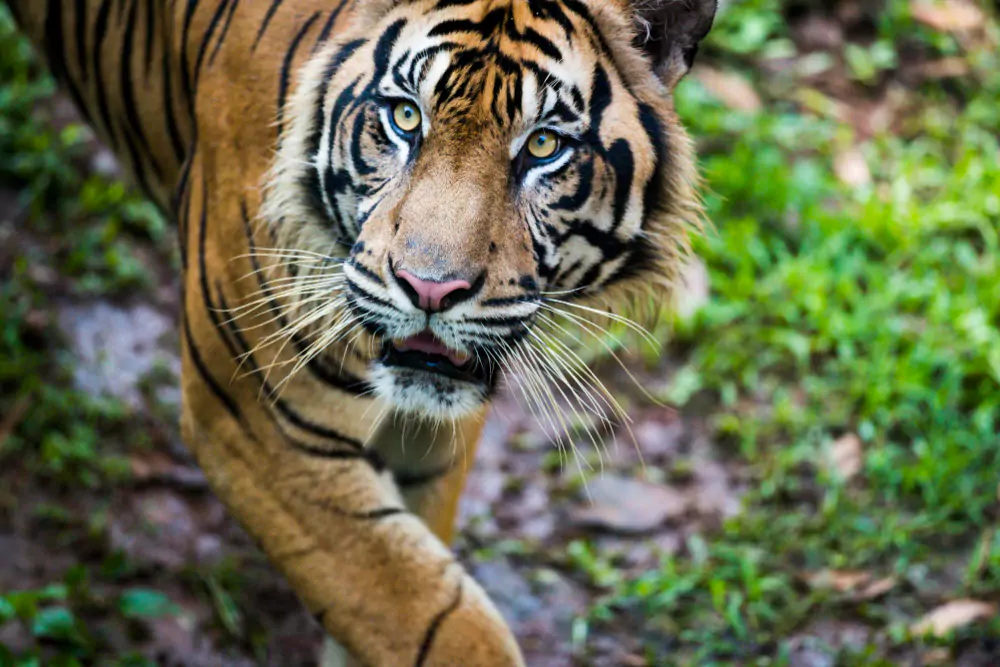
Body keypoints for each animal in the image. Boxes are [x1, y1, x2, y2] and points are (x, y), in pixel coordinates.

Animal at [7, 0, 717, 664]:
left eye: (544, 146)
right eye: (405, 118)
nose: (430, 289)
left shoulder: (433, 448)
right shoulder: (260, 427)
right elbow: (446, 628)